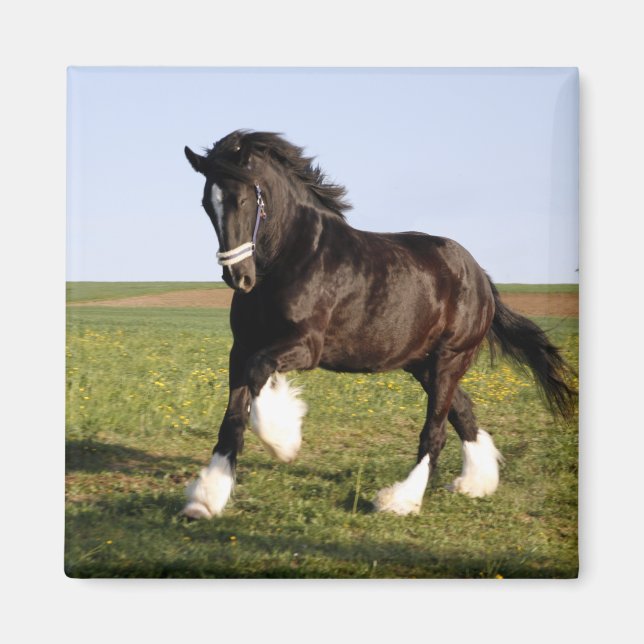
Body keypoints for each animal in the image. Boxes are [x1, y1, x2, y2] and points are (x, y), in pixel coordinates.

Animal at [181, 130, 577, 519]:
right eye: (207, 204)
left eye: (242, 199)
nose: (238, 277)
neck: (293, 256)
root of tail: (480, 277)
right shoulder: (242, 347)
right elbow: (233, 419)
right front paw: (204, 499)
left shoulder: (306, 346)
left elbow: (259, 373)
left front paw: (284, 441)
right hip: (423, 364)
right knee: (462, 412)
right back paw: (476, 482)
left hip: (450, 358)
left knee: (435, 431)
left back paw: (401, 500)